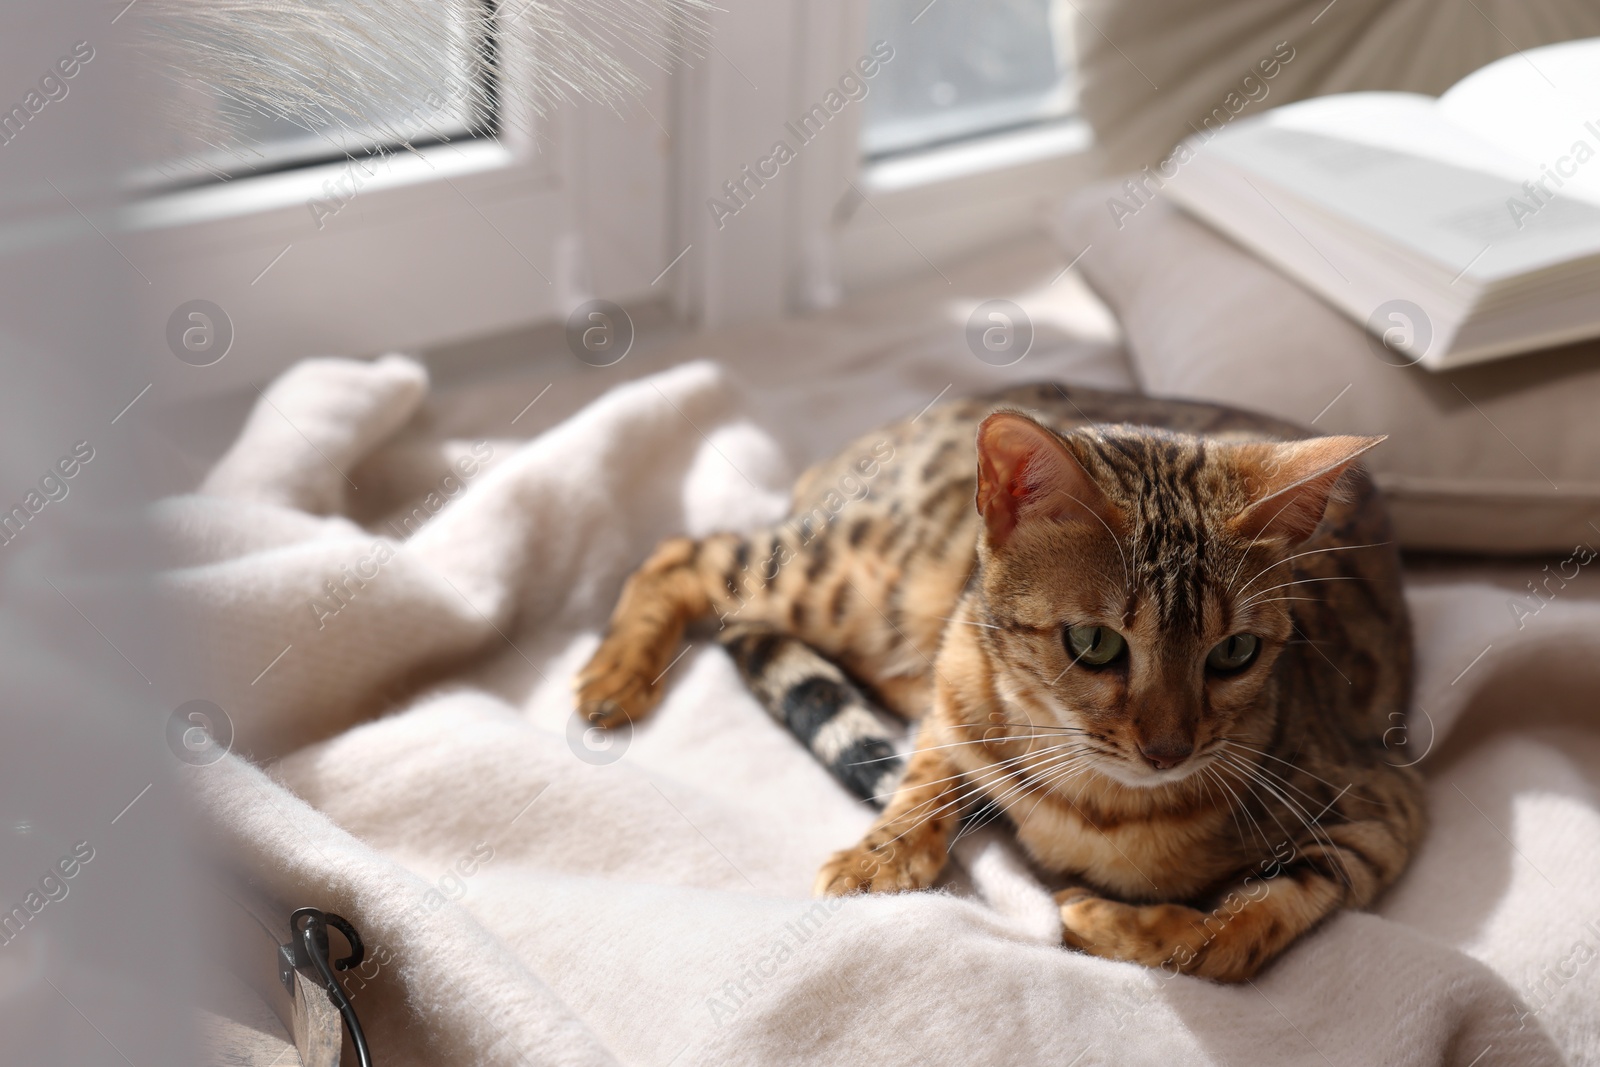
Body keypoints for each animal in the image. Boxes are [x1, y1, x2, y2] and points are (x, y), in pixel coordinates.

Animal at [572, 383, 1427, 985]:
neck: (1098, 803)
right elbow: (926, 769)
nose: (1168, 749)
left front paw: (1110, 921)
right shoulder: (955, 669)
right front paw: (879, 853)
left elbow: (1244, 924)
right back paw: (613, 679)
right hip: (861, 578)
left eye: (1235, 652)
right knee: (689, 553)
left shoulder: (1383, 808)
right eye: (1094, 643)